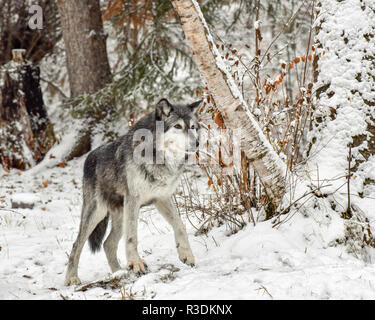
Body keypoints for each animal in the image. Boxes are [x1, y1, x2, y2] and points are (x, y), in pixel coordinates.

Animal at [64, 97, 203, 284]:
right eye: (178, 126)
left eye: (193, 127)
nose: (197, 143)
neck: (158, 158)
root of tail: (88, 158)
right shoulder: (133, 200)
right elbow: (132, 237)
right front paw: (136, 263)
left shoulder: (162, 198)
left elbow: (180, 225)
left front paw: (186, 255)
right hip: (97, 213)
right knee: (77, 244)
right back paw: (72, 278)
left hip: (120, 216)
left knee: (108, 244)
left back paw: (118, 272)